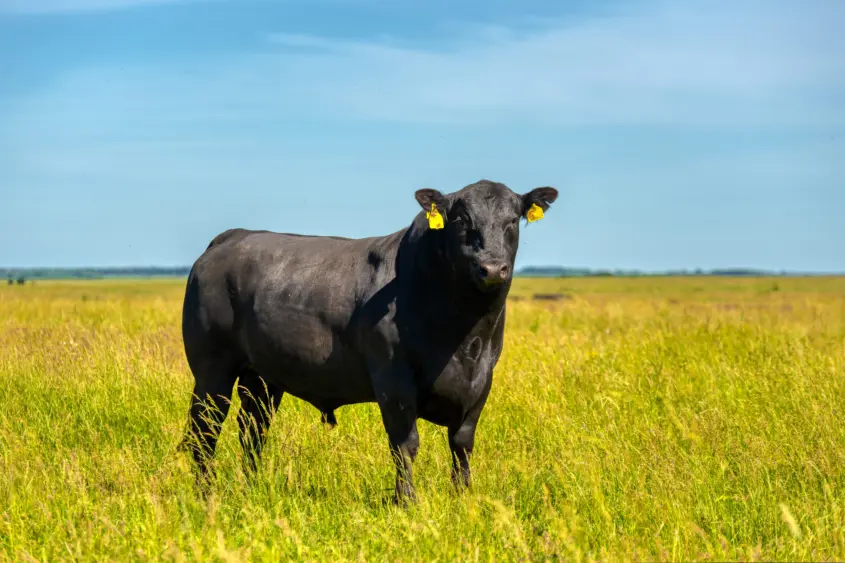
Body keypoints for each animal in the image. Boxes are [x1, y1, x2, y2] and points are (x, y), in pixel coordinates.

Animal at [178, 179, 558, 503]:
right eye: (462, 219)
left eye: (512, 220)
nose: (492, 268)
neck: (465, 338)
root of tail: (232, 237)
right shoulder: (393, 379)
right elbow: (405, 444)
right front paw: (406, 501)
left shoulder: (482, 381)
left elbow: (462, 444)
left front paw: (463, 498)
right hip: (212, 370)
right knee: (204, 431)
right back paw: (205, 495)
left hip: (261, 378)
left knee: (252, 430)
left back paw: (251, 487)